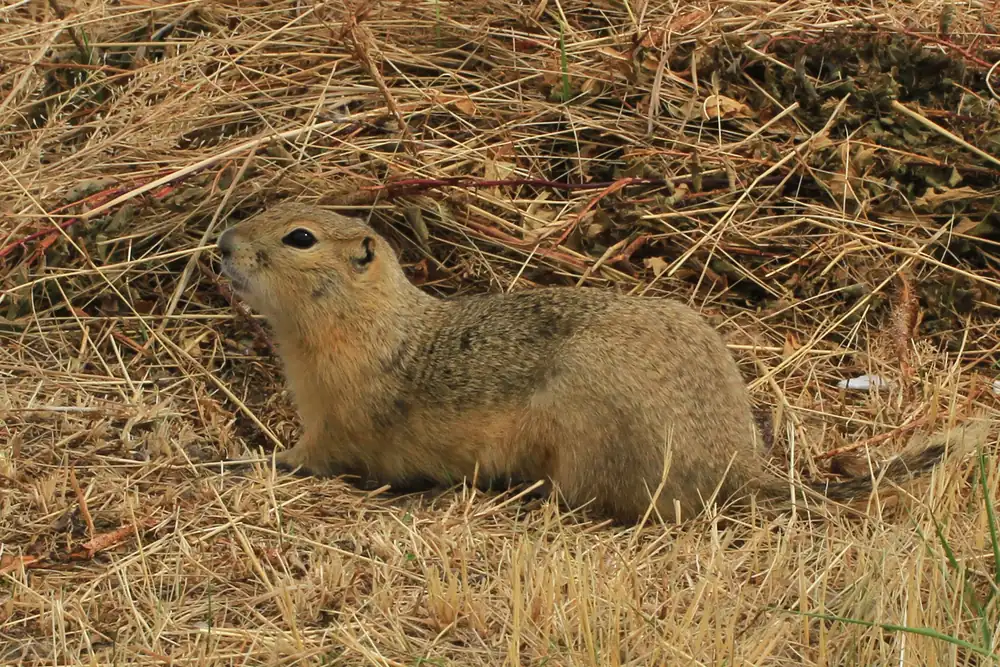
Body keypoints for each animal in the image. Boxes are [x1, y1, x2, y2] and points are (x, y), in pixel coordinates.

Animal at [217, 201, 986, 524]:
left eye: (299, 237)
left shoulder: (336, 424)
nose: (223, 245)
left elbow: (306, 457)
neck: (371, 322)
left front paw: (236, 460)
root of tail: (737, 463)